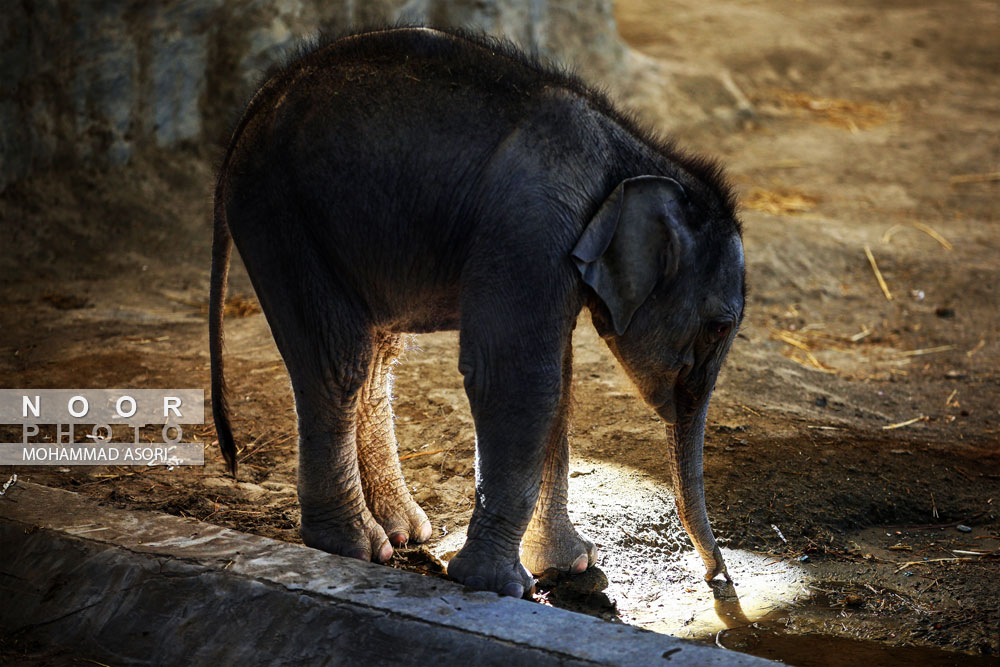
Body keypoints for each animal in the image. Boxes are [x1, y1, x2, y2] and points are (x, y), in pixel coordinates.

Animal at [211, 27, 744, 600]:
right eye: (719, 328)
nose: (718, 579)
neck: (628, 157)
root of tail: (254, 107)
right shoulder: (530, 229)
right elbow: (520, 381)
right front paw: (503, 585)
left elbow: (559, 385)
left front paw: (571, 565)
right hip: (282, 217)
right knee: (337, 365)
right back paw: (356, 547)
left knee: (377, 355)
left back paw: (402, 532)